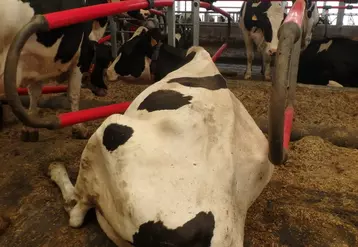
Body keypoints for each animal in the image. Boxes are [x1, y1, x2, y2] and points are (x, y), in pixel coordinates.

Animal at [0, 0, 150, 141]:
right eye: (104, 62)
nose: (104, 89)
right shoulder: (80, 57)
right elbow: (73, 94)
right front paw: (79, 129)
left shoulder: (37, 63)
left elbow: (34, 94)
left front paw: (29, 130)